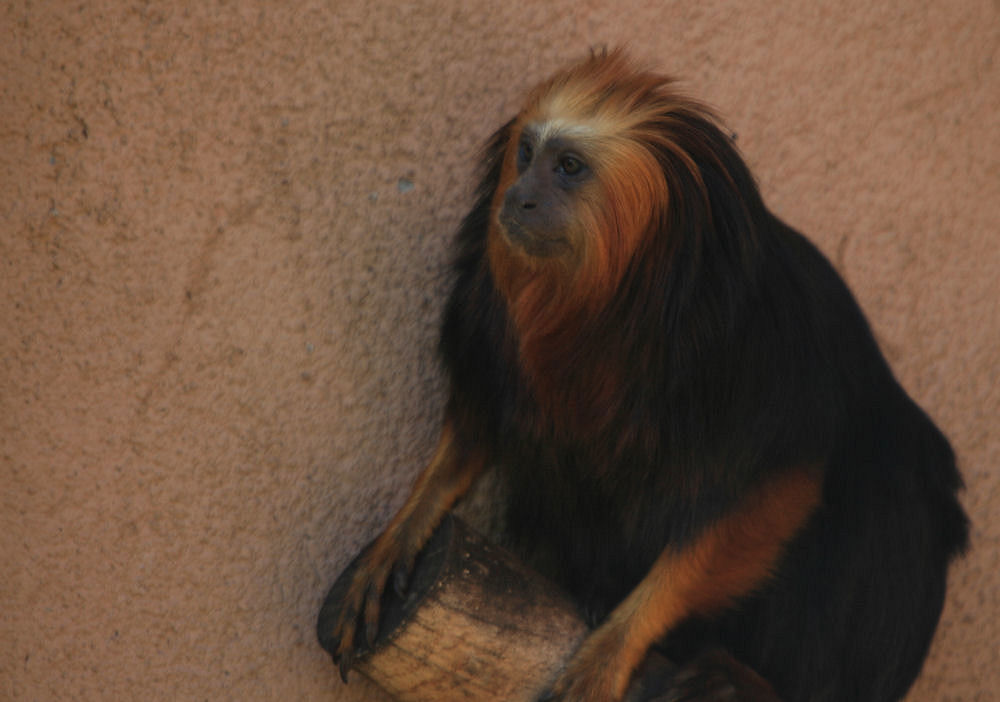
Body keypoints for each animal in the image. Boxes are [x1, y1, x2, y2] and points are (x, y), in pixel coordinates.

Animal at [326, 51, 968, 702]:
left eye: (569, 167)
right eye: (526, 154)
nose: (520, 196)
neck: (608, 303)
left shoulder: (754, 358)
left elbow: (775, 493)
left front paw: (616, 643)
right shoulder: (486, 318)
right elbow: (474, 429)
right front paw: (405, 529)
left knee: (892, 492)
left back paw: (749, 676)